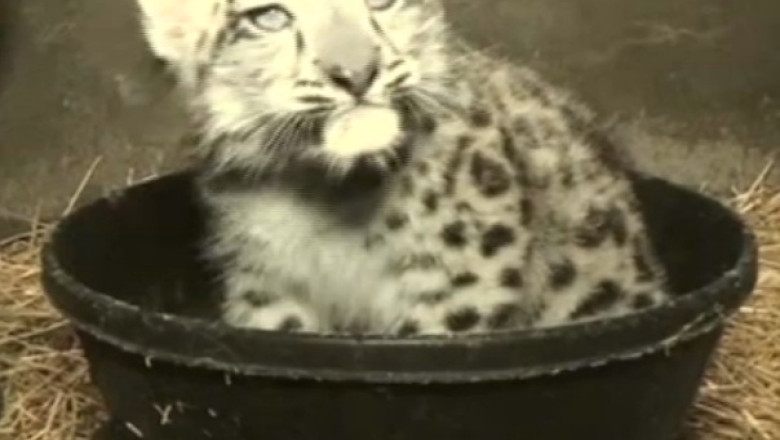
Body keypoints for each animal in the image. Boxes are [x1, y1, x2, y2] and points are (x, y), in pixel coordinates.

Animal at [134, 0, 671, 336]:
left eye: (383, 0)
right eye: (267, 17)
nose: (356, 73)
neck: (329, 204)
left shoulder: (463, 275)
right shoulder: (265, 281)